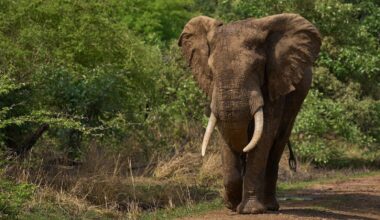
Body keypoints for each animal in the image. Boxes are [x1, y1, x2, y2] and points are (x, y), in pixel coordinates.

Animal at [178, 13, 320, 213]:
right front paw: (231, 205)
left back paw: (269, 206)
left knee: (276, 147)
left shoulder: (274, 82)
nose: (232, 205)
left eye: (256, 67)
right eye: (211, 70)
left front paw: (250, 210)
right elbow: (225, 135)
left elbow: (264, 136)